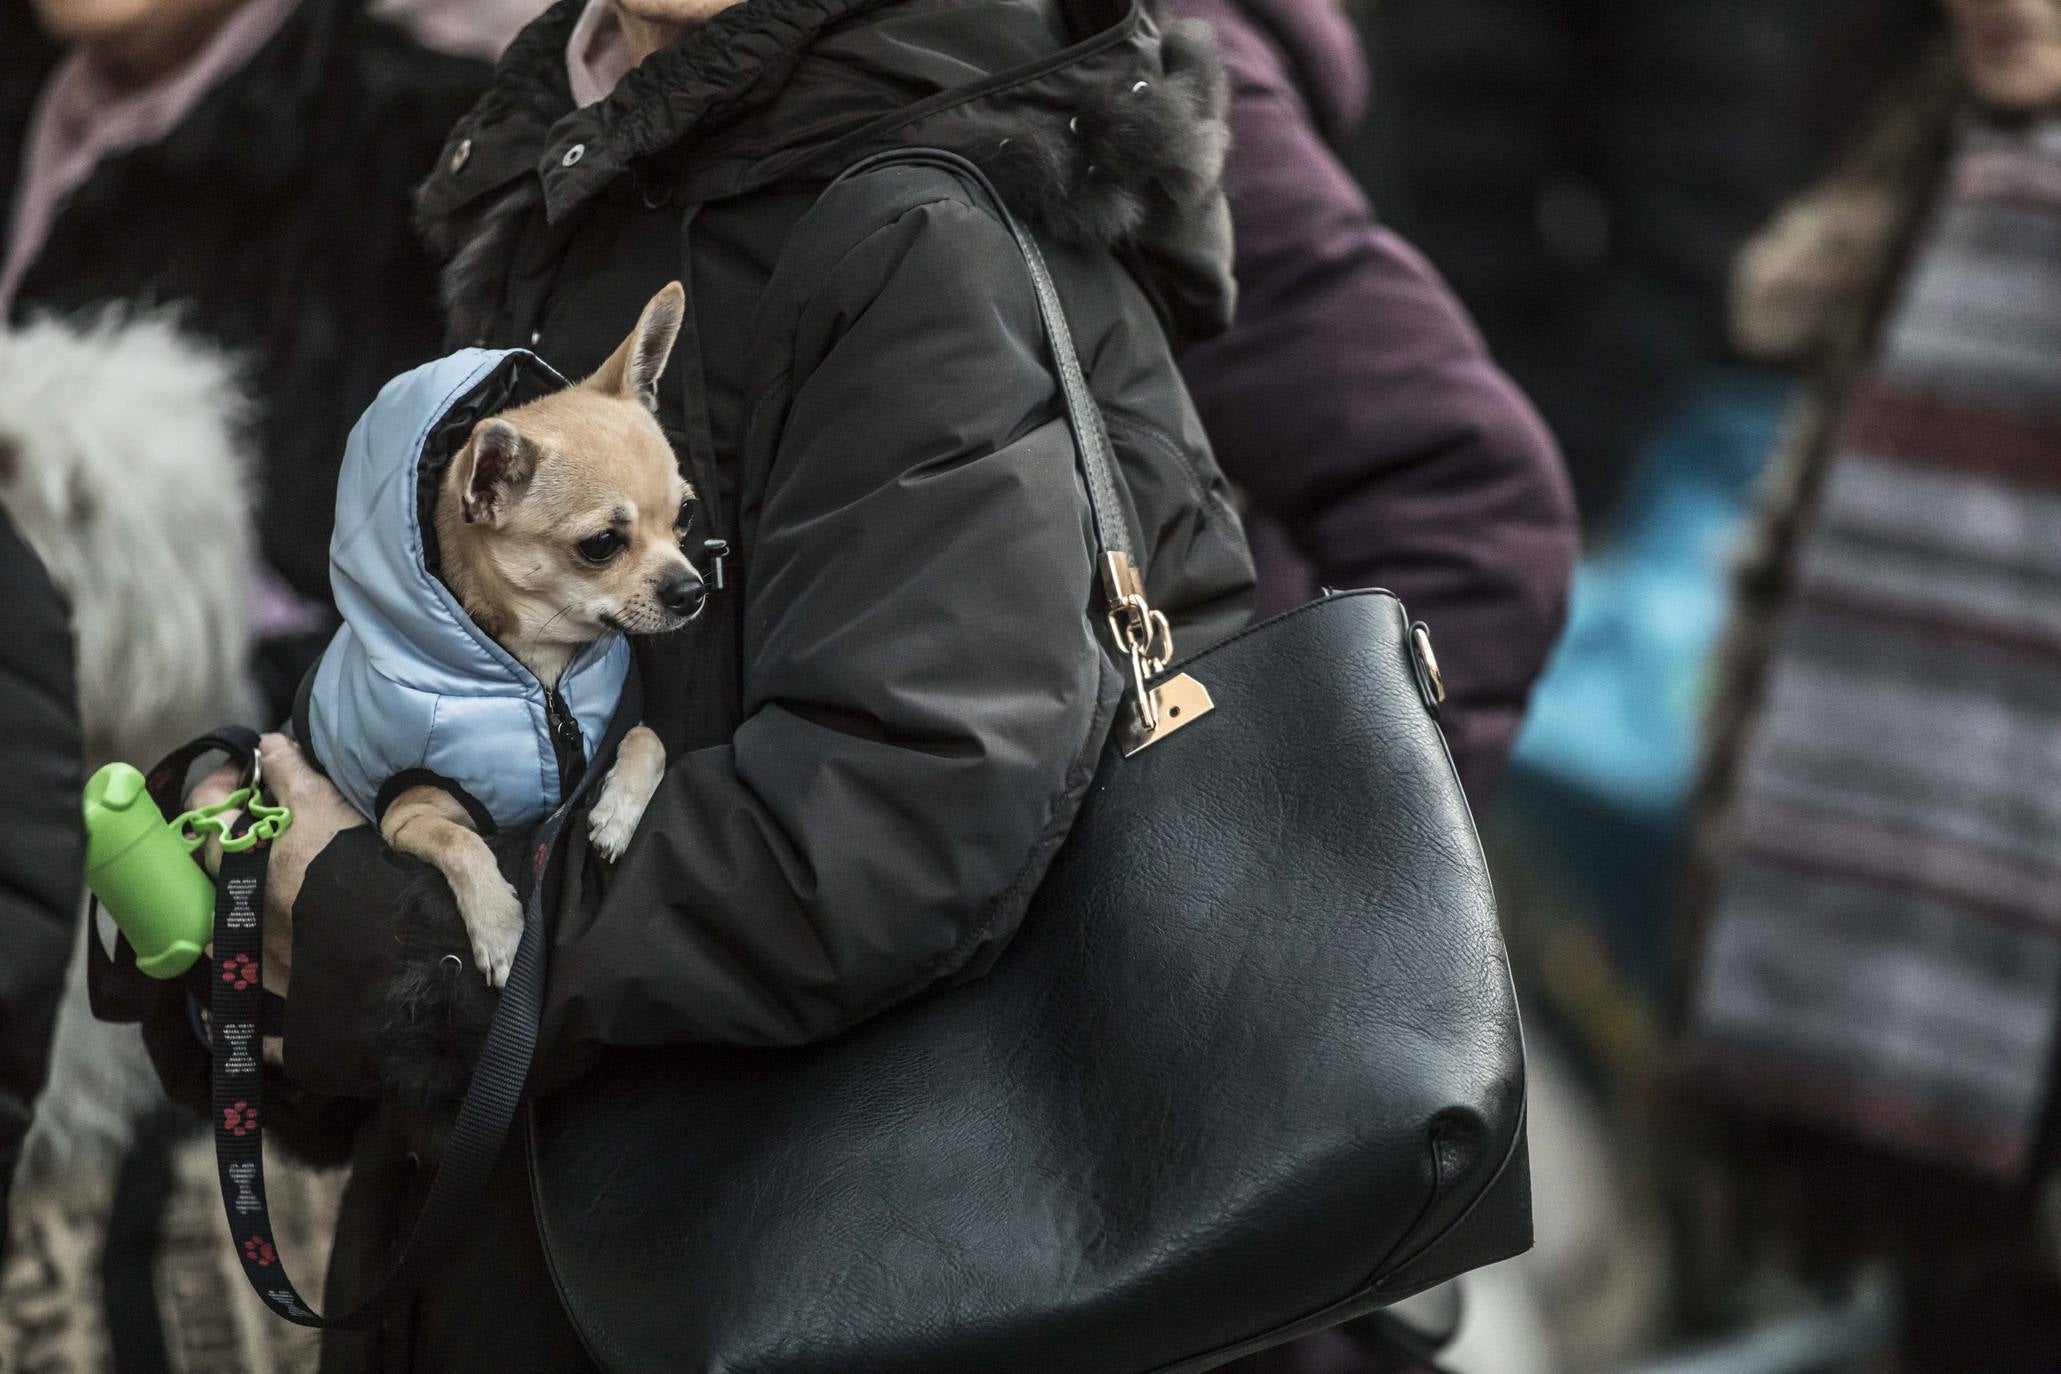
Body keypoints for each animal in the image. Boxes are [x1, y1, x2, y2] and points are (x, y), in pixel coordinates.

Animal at [383, 284, 704, 984]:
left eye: (686, 516)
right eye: (602, 544)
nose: (693, 590)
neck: (543, 669)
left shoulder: (617, 729)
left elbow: (647, 736)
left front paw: (616, 814)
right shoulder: (404, 812)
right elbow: (460, 838)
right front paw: (503, 929)